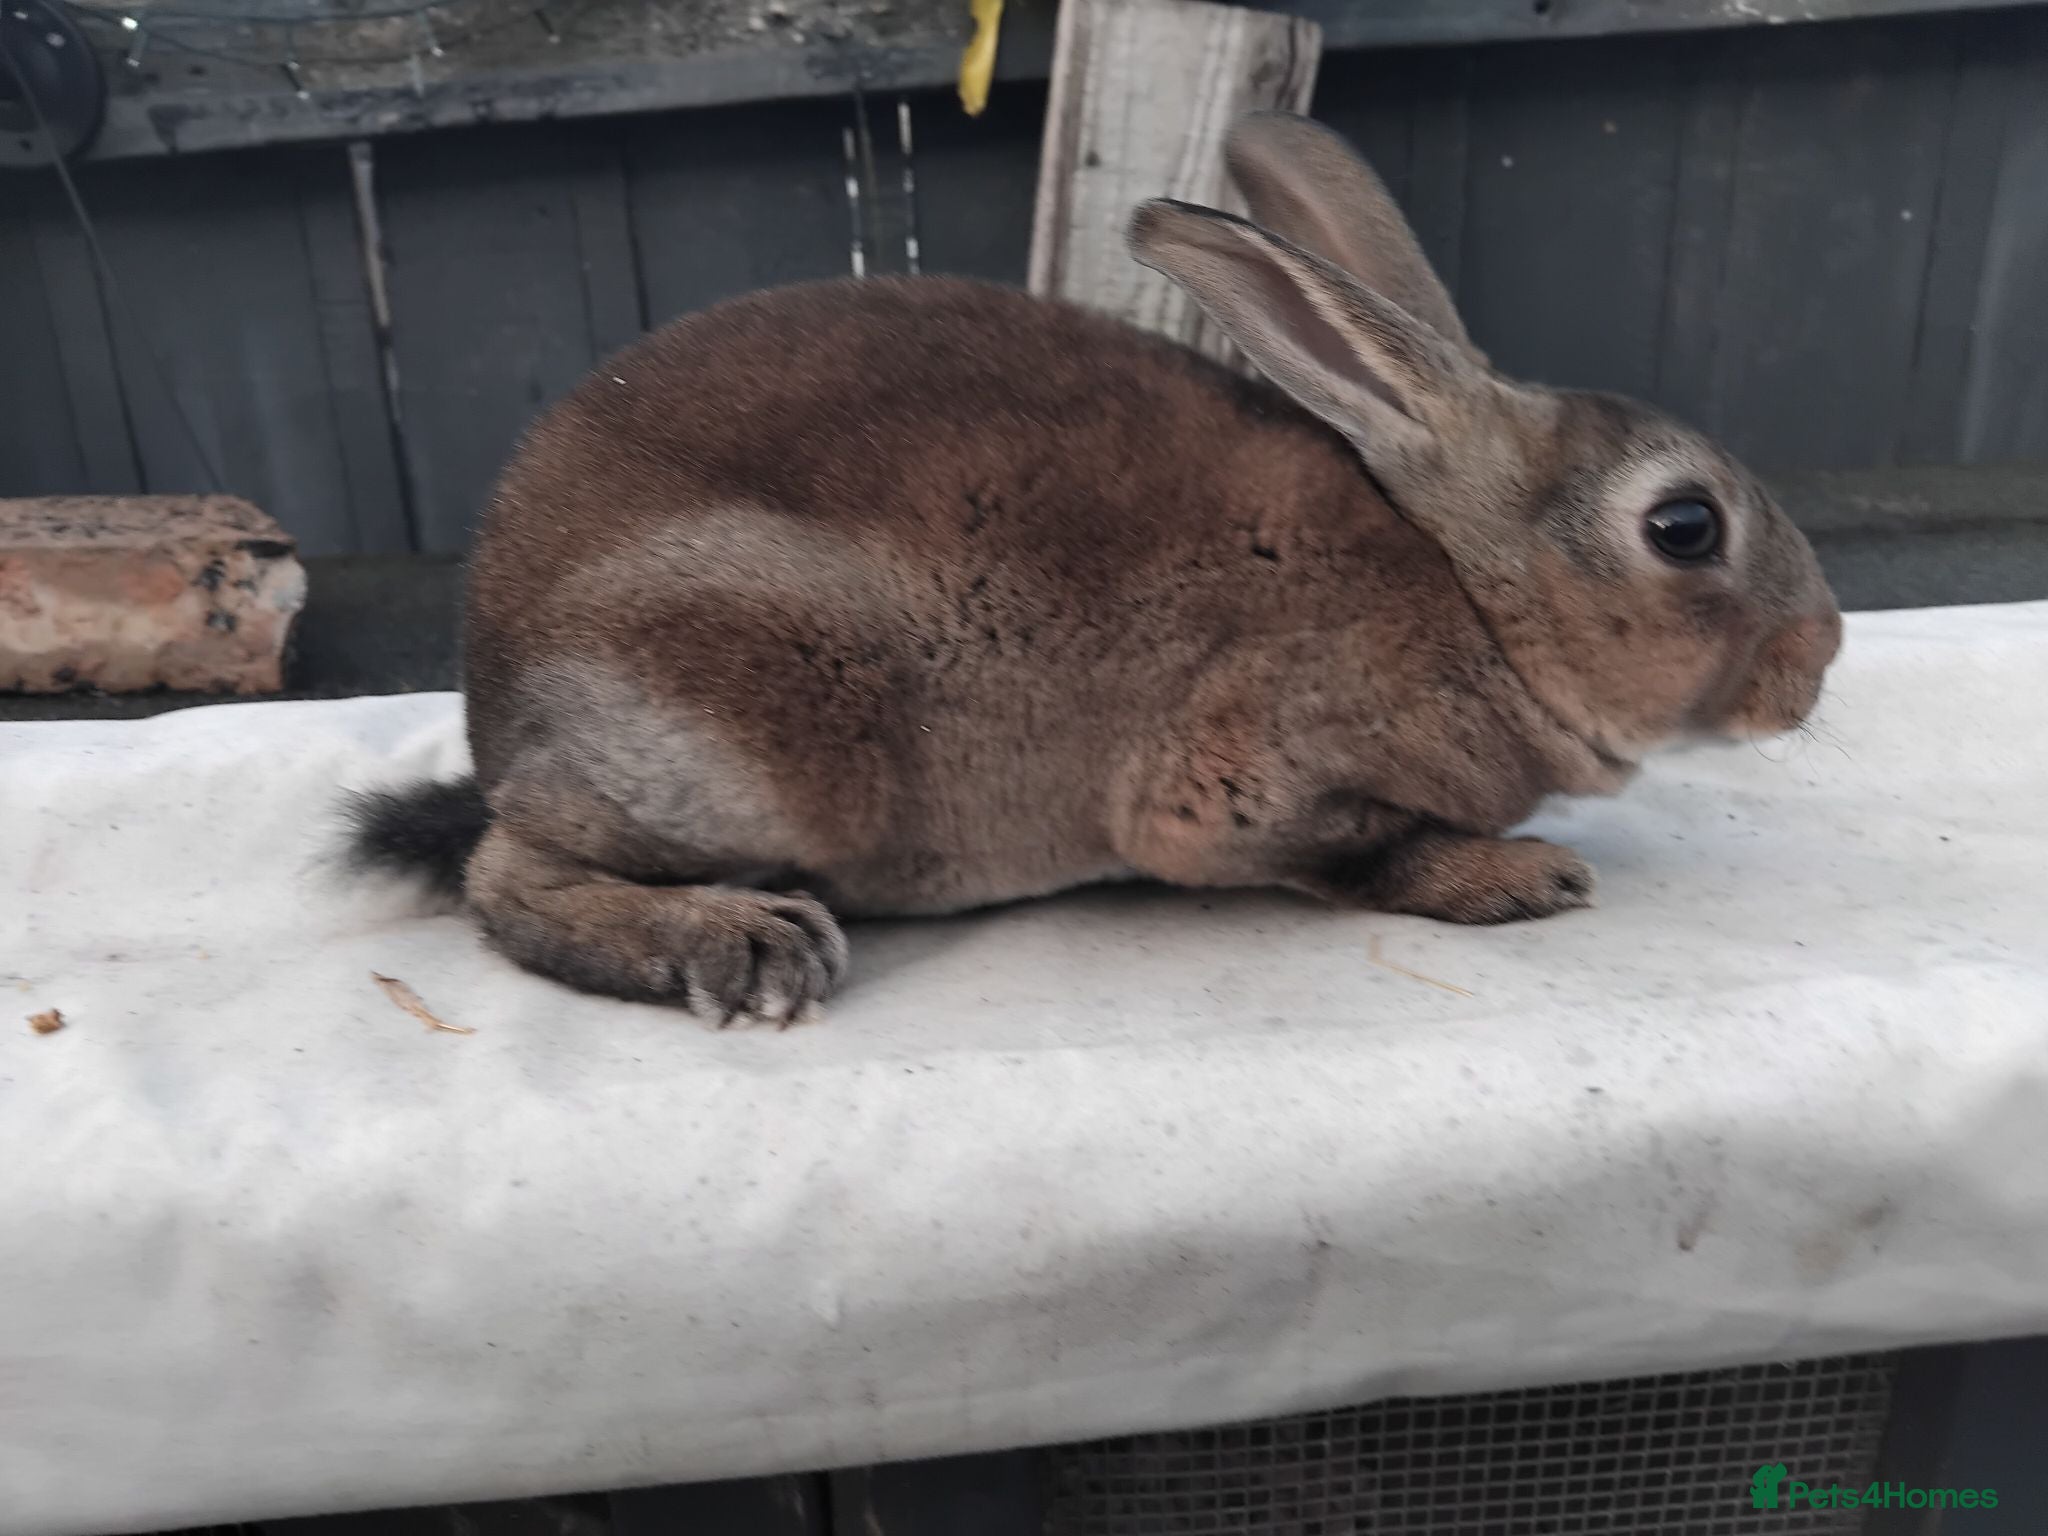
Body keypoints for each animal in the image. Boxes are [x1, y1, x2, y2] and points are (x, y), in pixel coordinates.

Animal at [347, 110, 1842, 1026]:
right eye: (1685, 527)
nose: (1815, 662)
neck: (1473, 594)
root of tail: (495, 703)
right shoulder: (1240, 780)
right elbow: (1359, 852)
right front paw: (1514, 880)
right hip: (758, 720)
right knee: (507, 877)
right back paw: (738, 942)